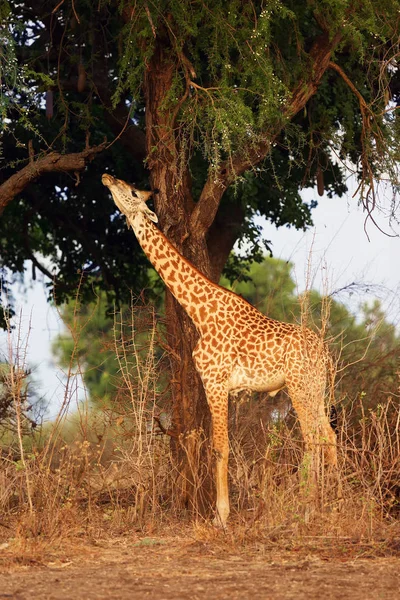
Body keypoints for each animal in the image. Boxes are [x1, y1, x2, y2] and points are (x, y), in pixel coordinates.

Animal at [101, 172, 336, 524]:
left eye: (130, 190)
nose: (105, 176)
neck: (199, 312)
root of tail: (325, 354)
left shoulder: (215, 382)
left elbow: (219, 447)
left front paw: (221, 516)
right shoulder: (218, 385)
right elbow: (215, 445)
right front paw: (221, 512)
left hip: (300, 386)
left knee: (313, 438)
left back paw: (308, 506)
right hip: (316, 387)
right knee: (328, 435)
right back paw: (336, 499)